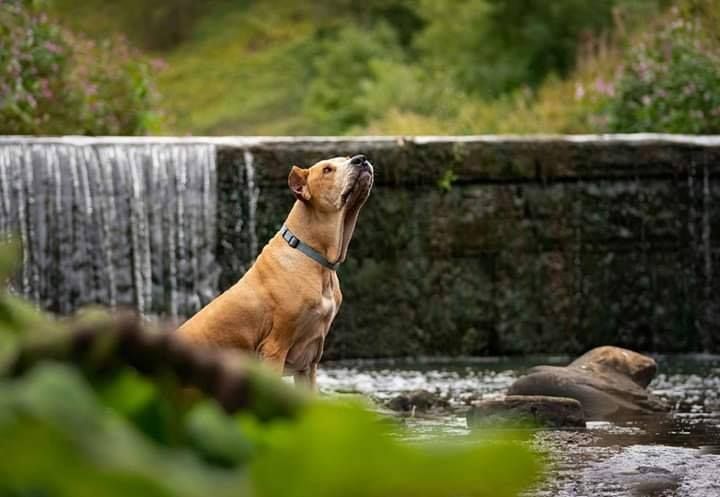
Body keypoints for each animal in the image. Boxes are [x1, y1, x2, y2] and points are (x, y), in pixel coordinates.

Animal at [178, 153, 374, 386]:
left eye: (347, 158)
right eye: (327, 170)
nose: (361, 160)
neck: (316, 259)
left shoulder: (308, 362)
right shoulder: (274, 349)